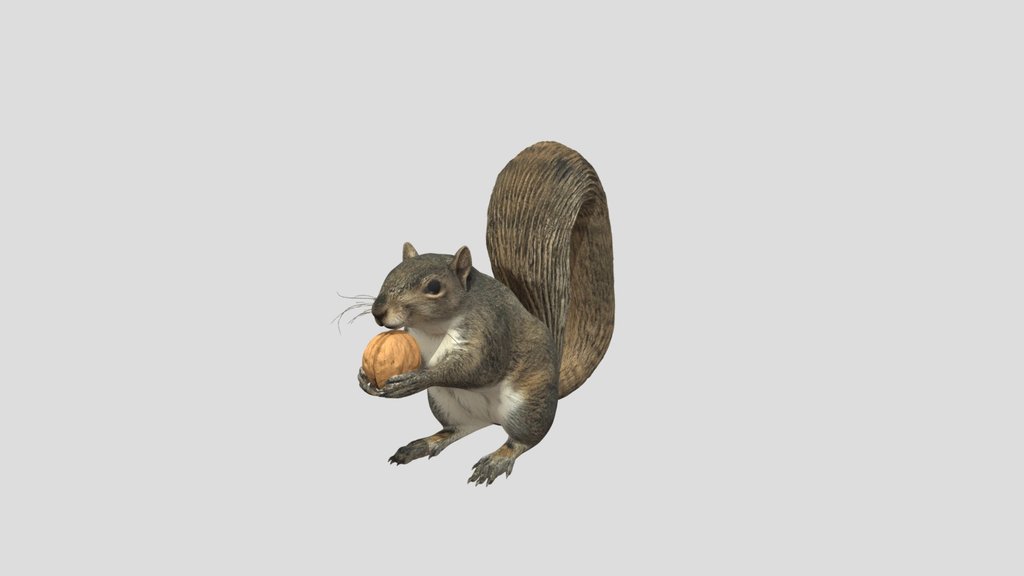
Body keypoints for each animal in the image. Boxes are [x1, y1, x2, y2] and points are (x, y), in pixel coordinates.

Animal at [356, 140, 614, 485]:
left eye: (434, 286)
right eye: (390, 273)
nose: (379, 312)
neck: (433, 329)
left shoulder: (491, 328)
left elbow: (478, 367)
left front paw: (417, 379)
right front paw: (364, 379)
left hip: (526, 405)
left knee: (523, 439)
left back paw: (498, 458)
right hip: (446, 403)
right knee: (459, 429)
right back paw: (425, 443)